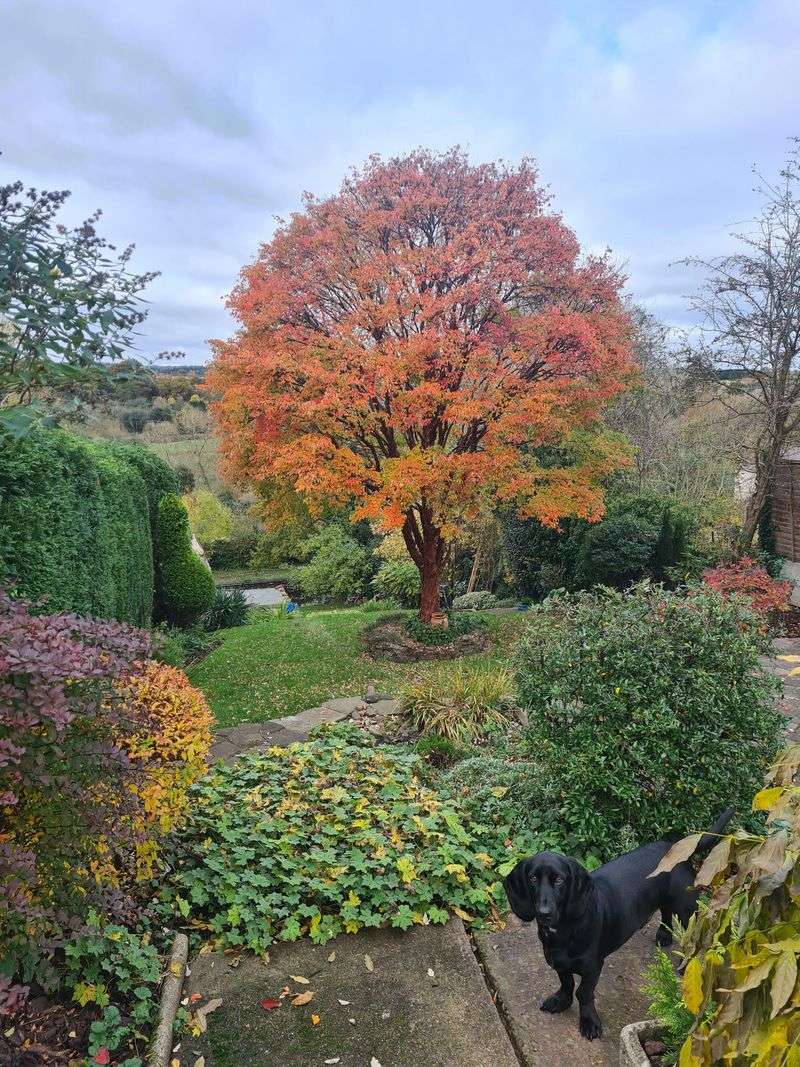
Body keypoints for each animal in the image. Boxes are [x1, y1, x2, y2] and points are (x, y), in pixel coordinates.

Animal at [503, 810, 738, 1037]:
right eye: (533, 879)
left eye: (559, 880)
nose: (543, 913)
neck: (565, 929)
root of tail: (674, 845)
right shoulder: (558, 962)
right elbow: (566, 983)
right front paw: (561, 1001)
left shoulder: (592, 967)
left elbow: (584, 993)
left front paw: (589, 1022)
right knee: (665, 913)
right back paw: (663, 935)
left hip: (685, 909)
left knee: (690, 937)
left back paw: (685, 962)